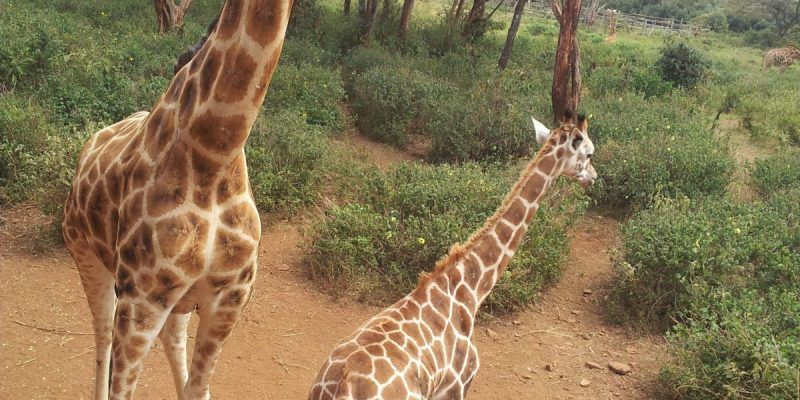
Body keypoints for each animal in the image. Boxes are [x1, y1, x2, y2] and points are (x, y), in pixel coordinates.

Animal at [61, 0, 291, 399]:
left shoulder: (230, 298)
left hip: (178, 300)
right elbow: (123, 389)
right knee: (102, 336)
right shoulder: (142, 300)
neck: (216, 150)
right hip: (84, 252)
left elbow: (198, 388)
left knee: (173, 339)